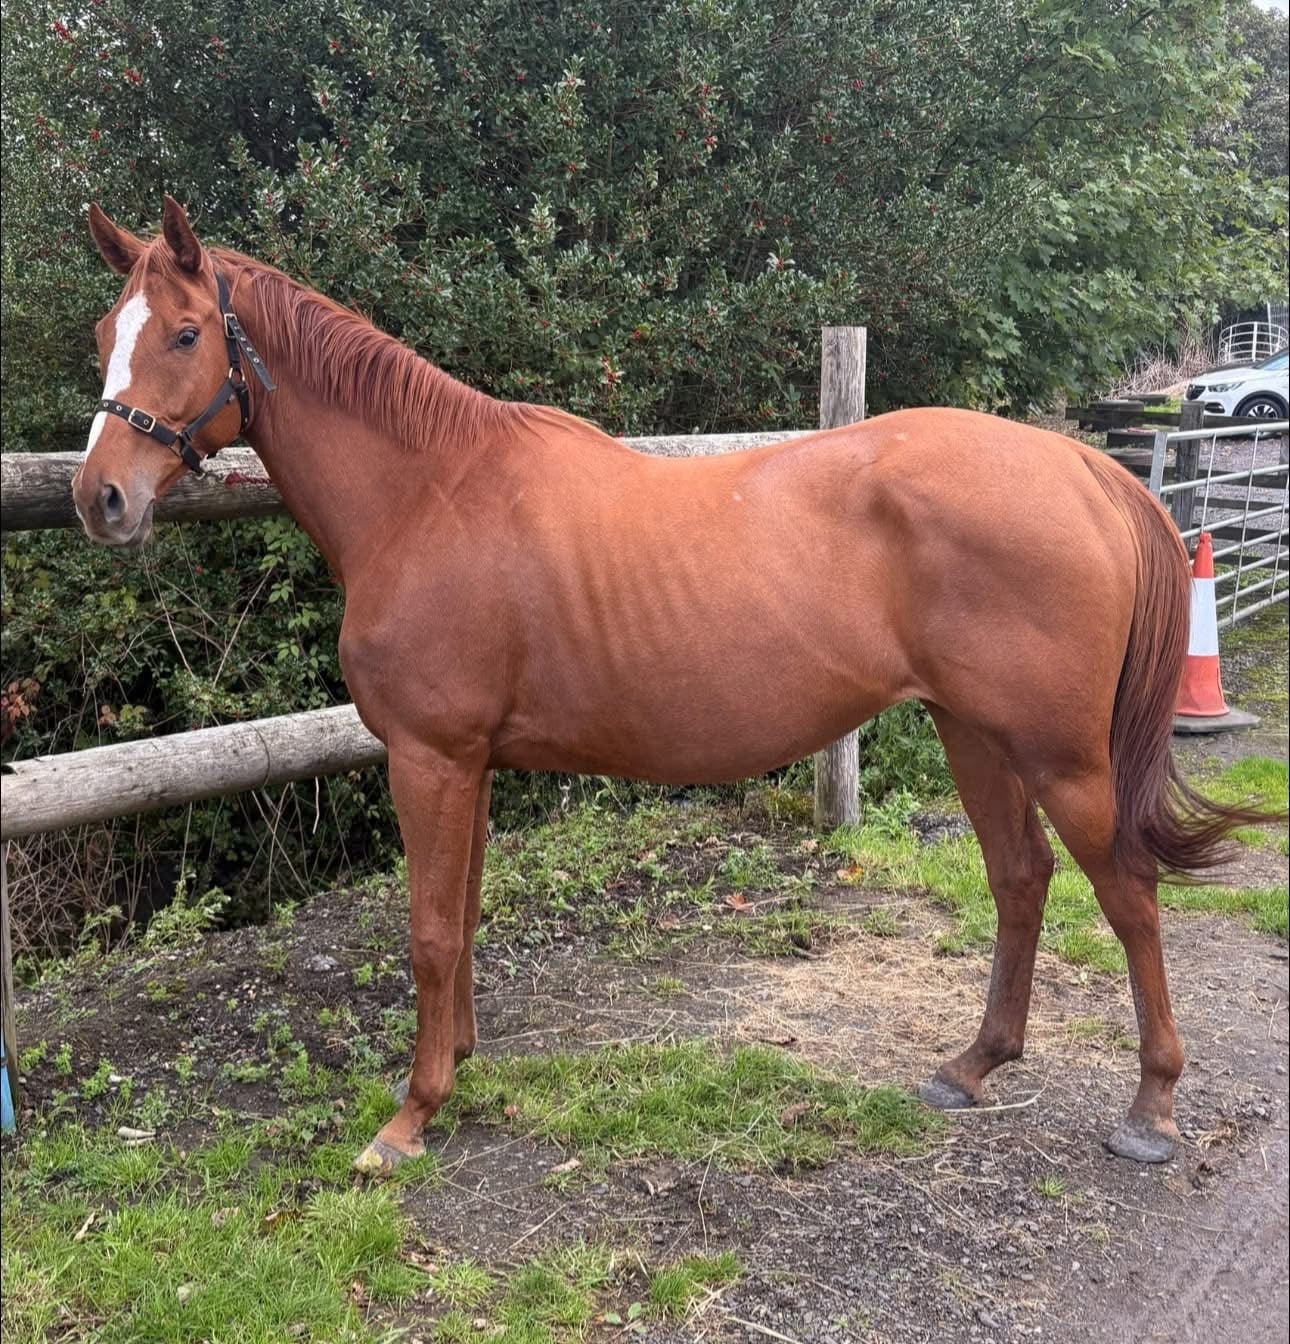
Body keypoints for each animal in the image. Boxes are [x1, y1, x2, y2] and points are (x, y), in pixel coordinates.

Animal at [73, 196, 1268, 1176]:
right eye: (103, 337)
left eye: (185, 334)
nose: (101, 500)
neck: (430, 493)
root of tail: (1087, 469)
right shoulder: (471, 764)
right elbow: (462, 917)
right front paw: (461, 1063)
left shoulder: (431, 757)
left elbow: (427, 933)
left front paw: (410, 1117)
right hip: (973, 731)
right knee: (1021, 879)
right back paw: (971, 1066)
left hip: (1061, 755)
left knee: (1126, 893)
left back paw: (1151, 1110)